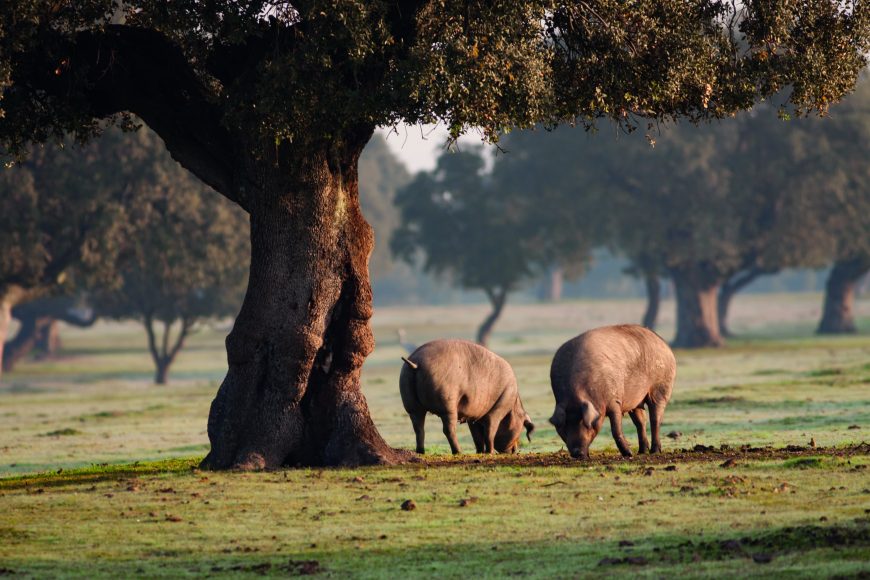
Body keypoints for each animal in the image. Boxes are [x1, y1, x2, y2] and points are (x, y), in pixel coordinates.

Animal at [400, 338, 536, 456]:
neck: (512, 407)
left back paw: (420, 452)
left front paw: (480, 453)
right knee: (448, 429)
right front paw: (490, 453)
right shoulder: (498, 408)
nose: (515, 450)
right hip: (447, 404)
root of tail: (416, 363)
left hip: (411, 404)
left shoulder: (473, 417)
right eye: (521, 426)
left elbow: (477, 436)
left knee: (418, 428)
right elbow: (490, 431)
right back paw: (458, 452)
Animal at [548, 324, 676, 460]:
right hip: (636, 400)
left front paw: (628, 454)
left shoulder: (614, 399)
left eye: (585, 423)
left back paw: (654, 452)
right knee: (640, 421)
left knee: (655, 418)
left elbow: (616, 429)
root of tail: (663, 342)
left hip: (661, 386)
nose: (577, 453)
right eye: (564, 427)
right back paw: (641, 452)